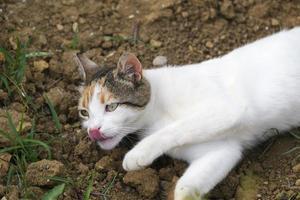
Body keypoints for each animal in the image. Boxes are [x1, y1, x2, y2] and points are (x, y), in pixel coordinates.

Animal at [75, 27, 300, 200]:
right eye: (85, 113)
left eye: (111, 107)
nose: (93, 131)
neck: (157, 112)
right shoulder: (223, 150)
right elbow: (187, 188)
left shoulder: (228, 107)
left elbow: (178, 127)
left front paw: (138, 154)